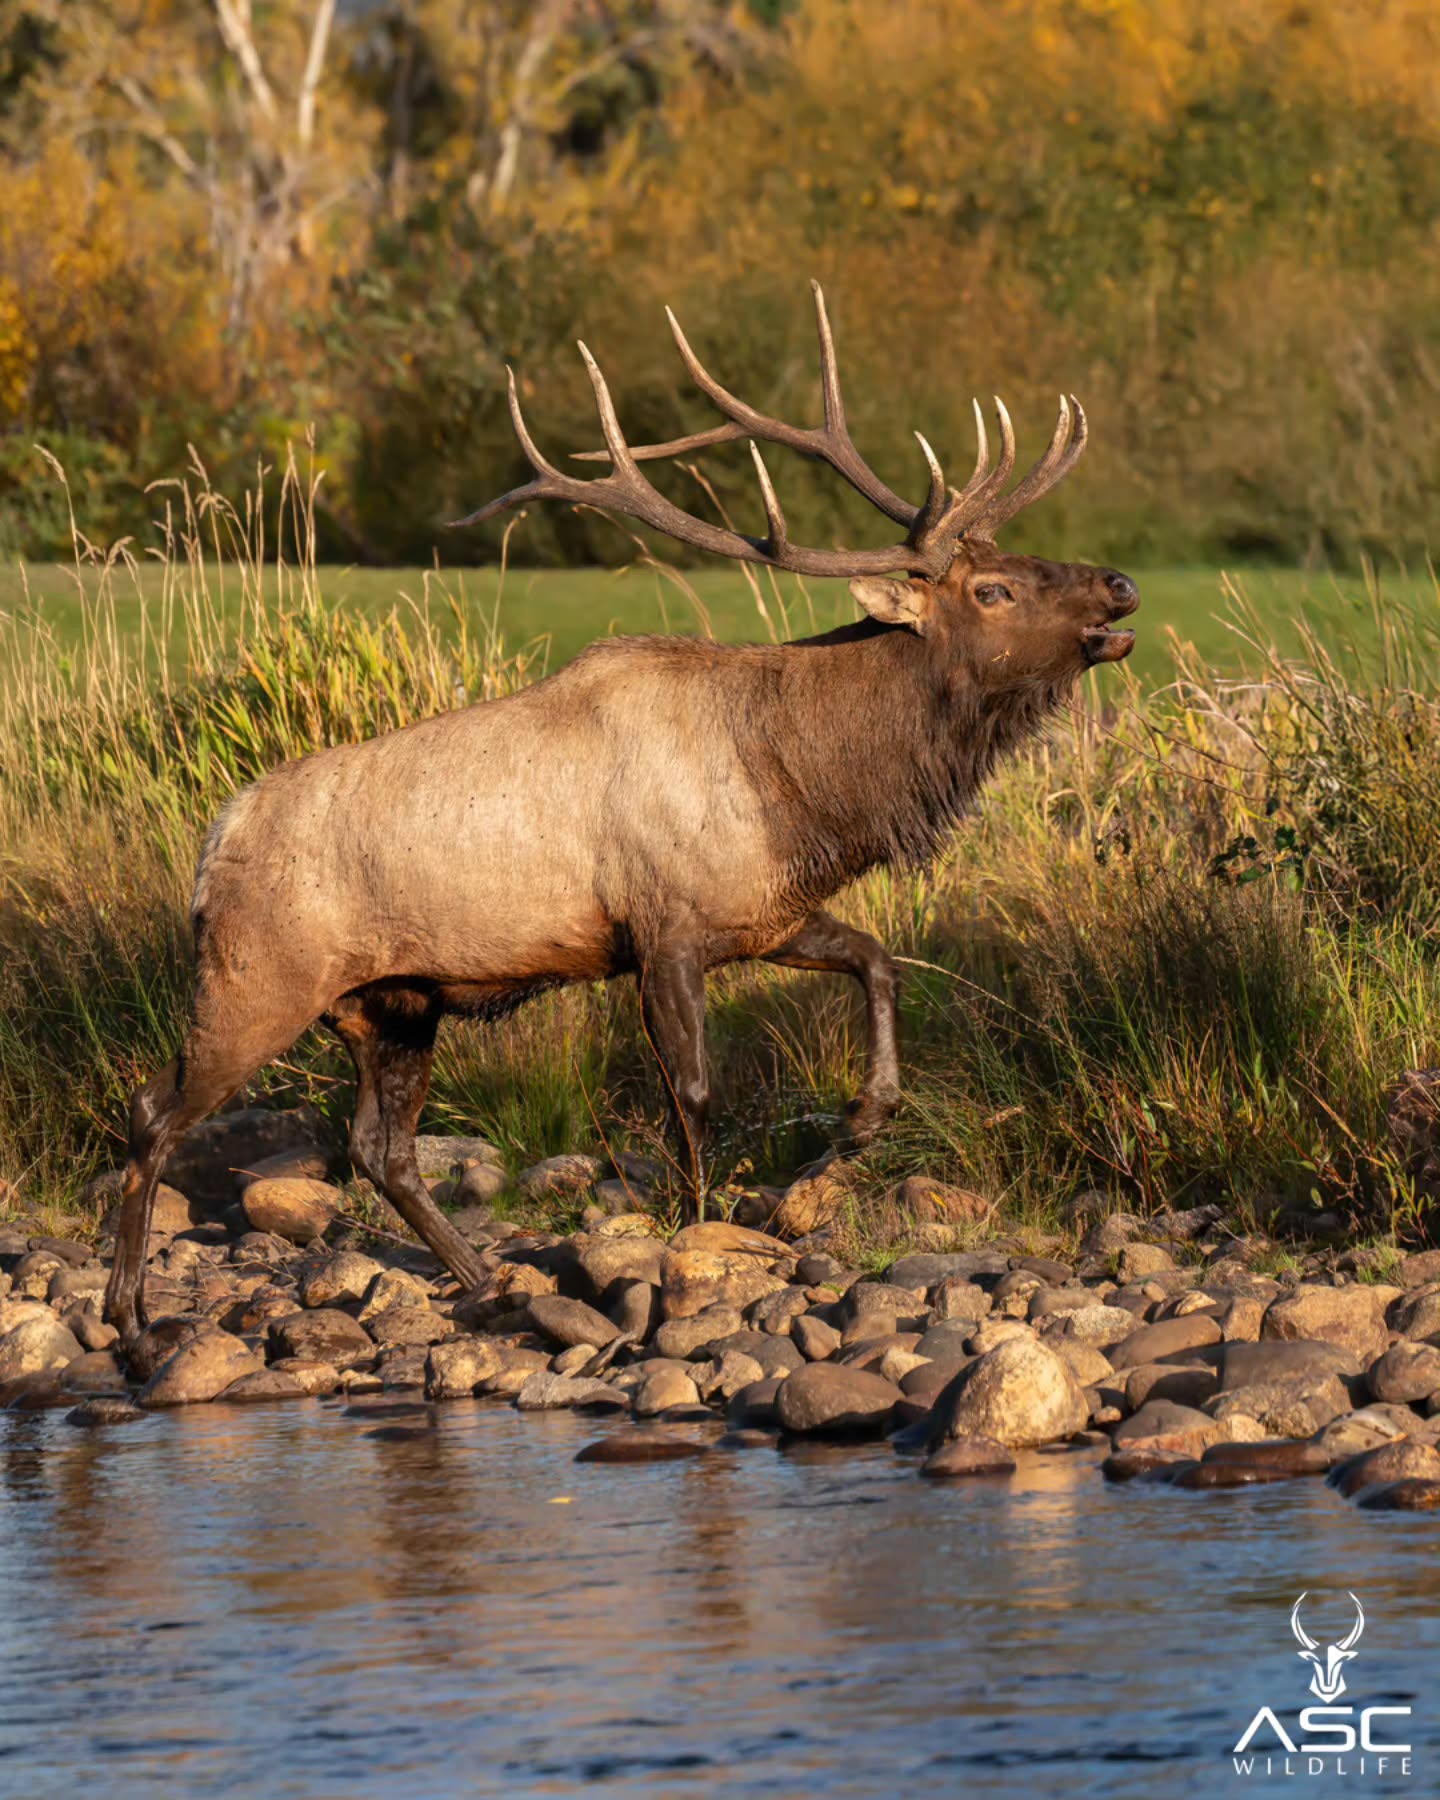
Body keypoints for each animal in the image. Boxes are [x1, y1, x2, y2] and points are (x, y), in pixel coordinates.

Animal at [103, 282, 1139, 1347]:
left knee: (378, 1147)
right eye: (993, 588)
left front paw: (859, 1120)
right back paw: (132, 1321)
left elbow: (878, 960)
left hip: (394, 1000)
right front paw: (701, 1228)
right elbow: (695, 1093)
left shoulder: (762, 916)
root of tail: (212, 844)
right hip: (257, 977)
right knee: (153, 1110)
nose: (1119, 582)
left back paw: (481, 1278)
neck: (805, 789)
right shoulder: (662, 929)